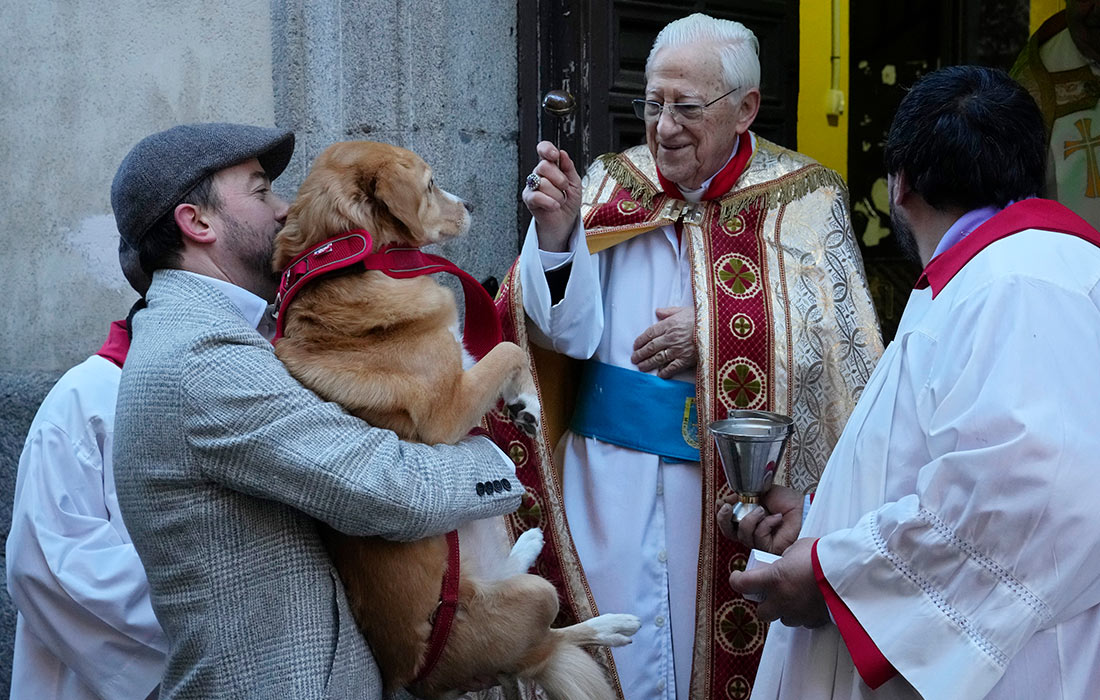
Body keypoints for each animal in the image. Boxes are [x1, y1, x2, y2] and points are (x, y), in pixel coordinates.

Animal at [269, 138, 642, 700]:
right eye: (429, 185)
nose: (469, 205)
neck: (350, 268)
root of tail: (423, 678)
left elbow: (498, 354)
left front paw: (521, 404)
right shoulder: (446, 414)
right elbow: (508, 349)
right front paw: (526, 402)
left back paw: (534, 550)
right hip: (536, 598)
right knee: (545, 646)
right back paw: (604, 624)